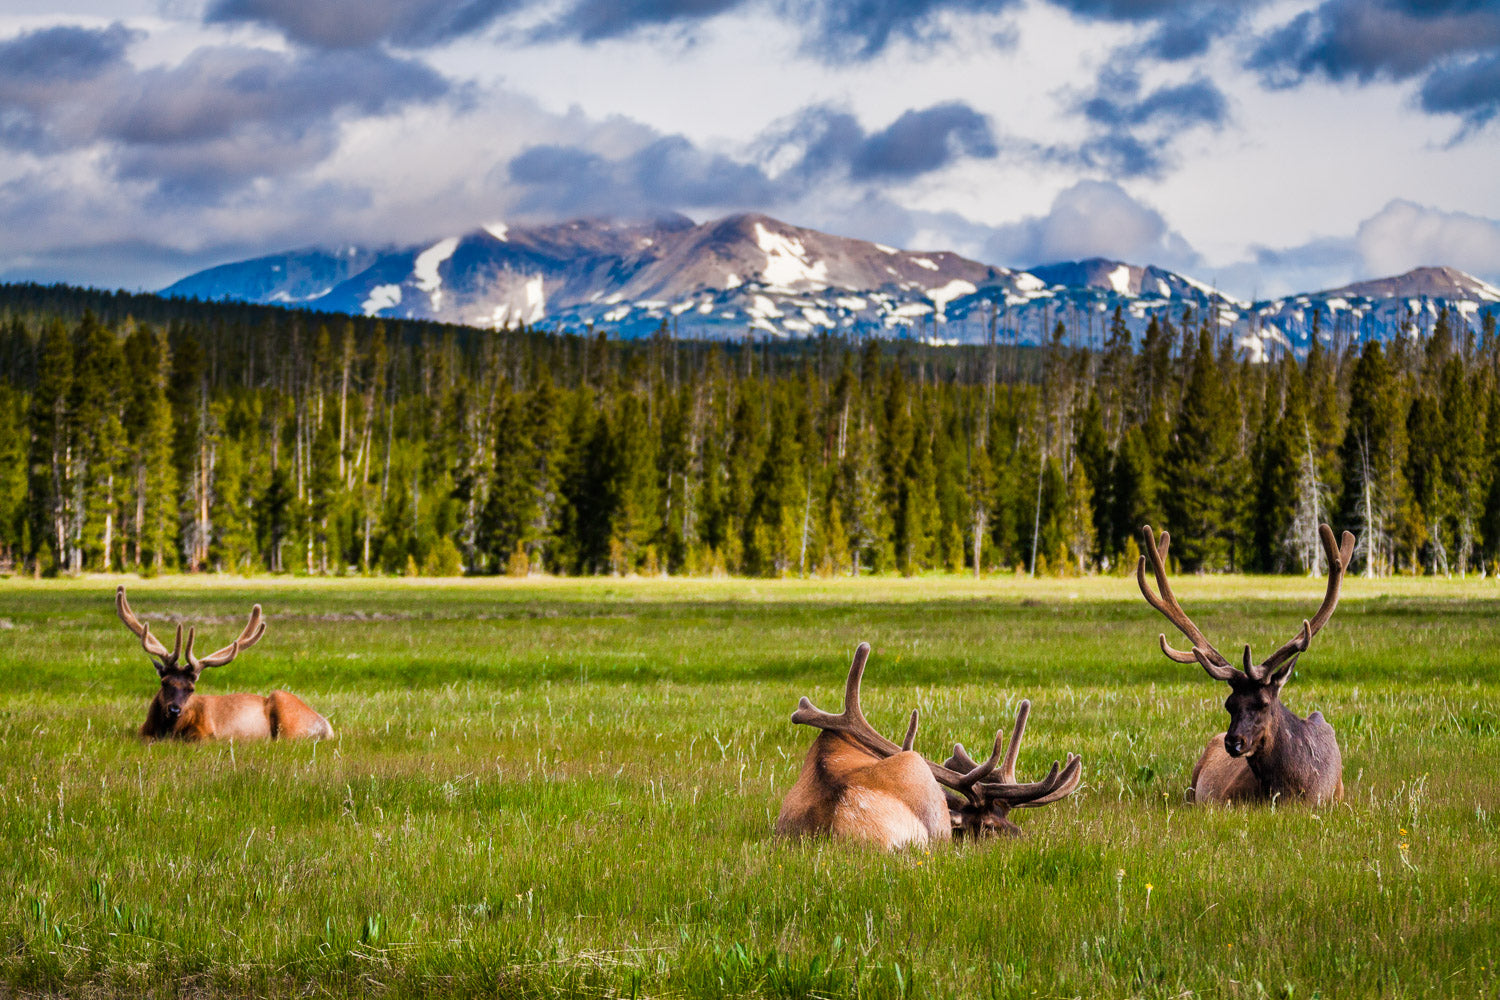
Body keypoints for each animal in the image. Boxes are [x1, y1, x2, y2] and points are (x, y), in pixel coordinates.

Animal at [116, 586, 333, 741]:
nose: (174, 709)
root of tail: (328, 727)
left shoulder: (207, 733)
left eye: (191, 689)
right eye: (164, 682)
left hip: (286, 713)